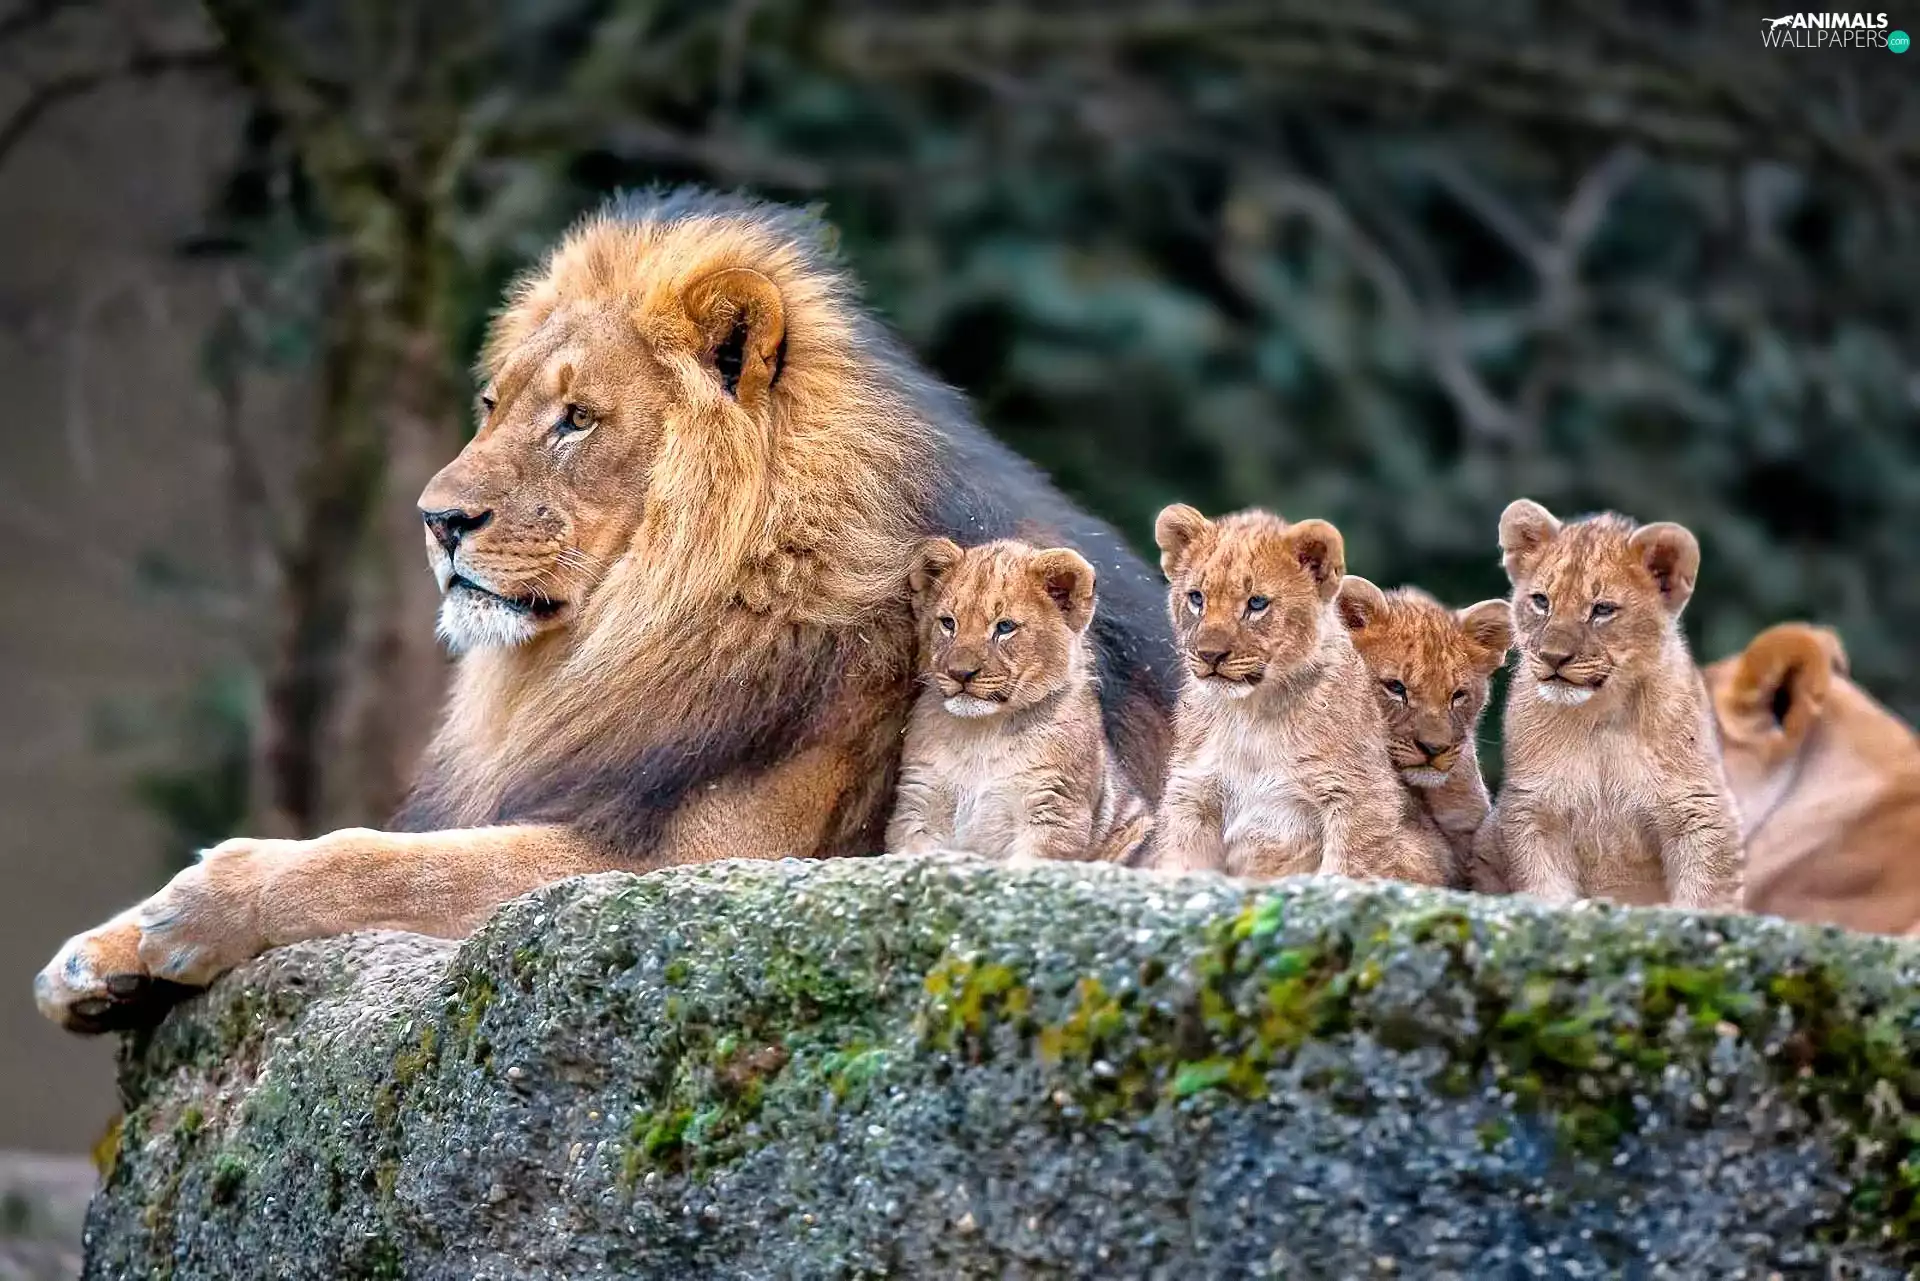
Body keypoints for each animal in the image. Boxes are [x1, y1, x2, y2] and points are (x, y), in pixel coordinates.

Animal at [886, 538, 1152, 864]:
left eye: (1004, 627)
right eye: (948, 623)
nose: (960, 673)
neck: (982, 735)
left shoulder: (1054, 811)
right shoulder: (919, 804)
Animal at [1148, 505, 1453, 886]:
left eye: (1257, 603)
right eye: (1196, 598)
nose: (1209, 655)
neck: (1251, 715)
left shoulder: (1359, 796)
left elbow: (1347, 867)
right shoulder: (1193, 794)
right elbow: (1183, 863)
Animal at [1476, 500, 1742, 909]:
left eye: (1602, 610)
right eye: (1541, 601)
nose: (1553, 657)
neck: (1599, 716)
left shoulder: (1698, 809)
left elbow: (1703, 893)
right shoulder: (1534, 808)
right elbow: (1545, 886)